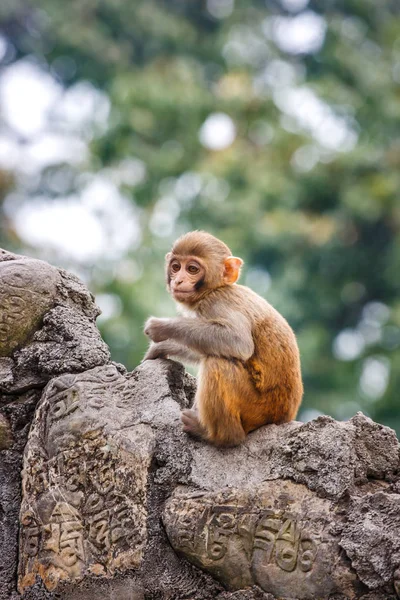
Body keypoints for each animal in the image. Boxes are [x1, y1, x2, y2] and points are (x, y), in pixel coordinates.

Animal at [144, 230, 304, 446]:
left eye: (192, 269)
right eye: (176, 267)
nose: (178, 280)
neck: (216, 288)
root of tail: (284, 417)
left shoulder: (217, 303)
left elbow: (237, 342)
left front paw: (160, 327)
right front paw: (163, 347)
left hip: (257, 409)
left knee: (217, 363)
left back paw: (219, 434)